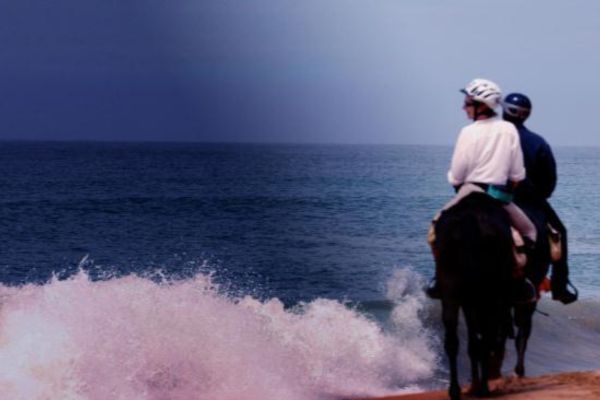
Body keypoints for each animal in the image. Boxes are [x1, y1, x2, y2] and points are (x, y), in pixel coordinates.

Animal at [434, 192, 512, 398]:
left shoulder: (470, 302)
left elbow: (473, 343)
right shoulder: (488, 302)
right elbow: (481, 340)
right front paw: (479, 384)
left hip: (453, 292)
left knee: (452, 340)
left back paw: (455, 390)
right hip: (484, 297)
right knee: (483, 339)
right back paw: (482, 387)